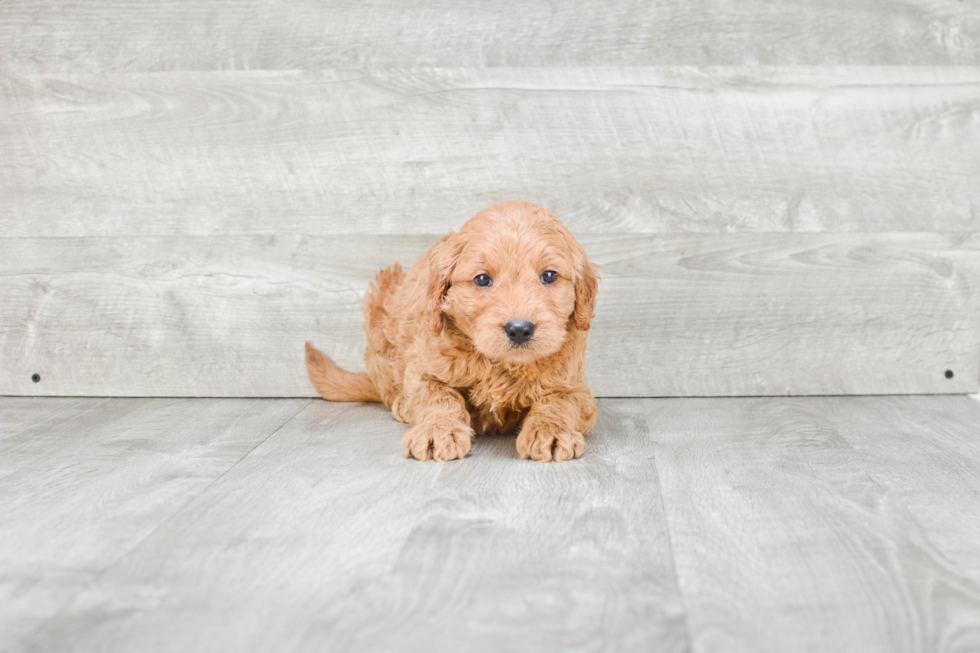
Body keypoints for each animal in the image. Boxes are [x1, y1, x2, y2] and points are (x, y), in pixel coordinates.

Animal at [304, 201, 596, 460]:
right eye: (482, 279)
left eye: (549, 276)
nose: (519, 329)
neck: (501, 365)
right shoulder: (424, 368)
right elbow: (437, 397)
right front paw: (437, 431)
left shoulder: (574, 385)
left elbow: (558, 402)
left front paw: (551, 432)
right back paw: (402, 404)